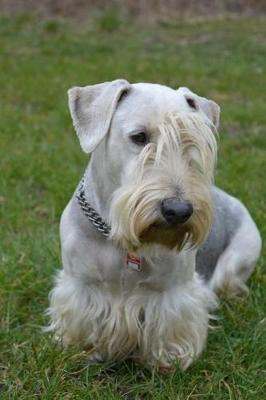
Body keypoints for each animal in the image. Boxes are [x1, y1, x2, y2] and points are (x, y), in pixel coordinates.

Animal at [46, 79, 262, 370]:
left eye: (189, 141)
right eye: (139, 137)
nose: (178, 211)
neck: (119, 234)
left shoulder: (173, 291)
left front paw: (169, 359)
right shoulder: (80, 283)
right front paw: (81, 348)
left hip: (240, 257)